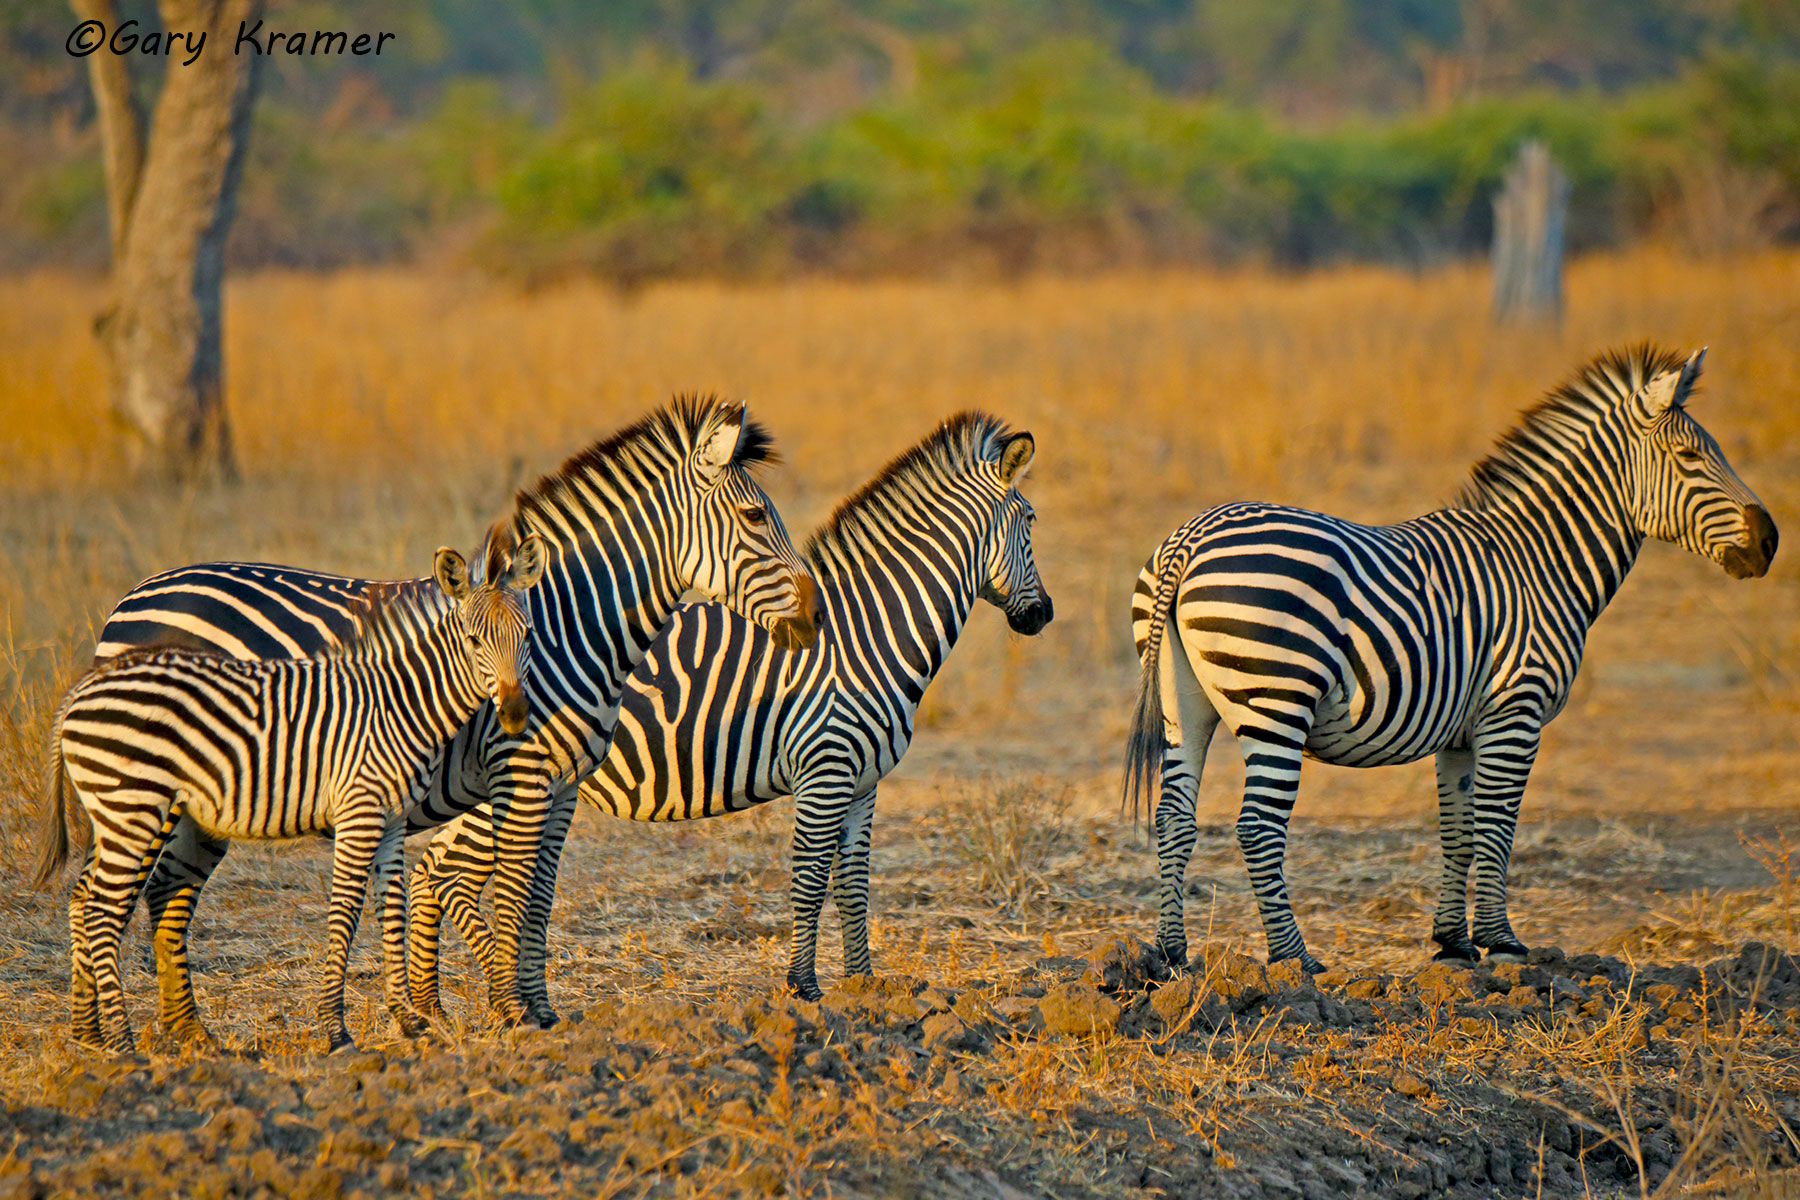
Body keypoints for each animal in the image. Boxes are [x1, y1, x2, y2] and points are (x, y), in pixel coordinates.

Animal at [35, 533, 545, 1054]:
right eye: (475, 641)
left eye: (527, 636)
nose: (516, 716)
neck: (399, 703)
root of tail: (80, 693)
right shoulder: (358, 811)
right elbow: (344, 913)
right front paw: (335, 1031)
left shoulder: (392, 820)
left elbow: (392, 910)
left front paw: (410, 1021)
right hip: (134, 807)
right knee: (102, 910)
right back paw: (122, 1043)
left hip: (117, 810)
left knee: (86, 899)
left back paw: (89, 1034)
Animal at [93, 396, 822, 1040]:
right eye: (756, 516)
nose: (816, 619)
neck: (571, 624)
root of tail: (135, 596)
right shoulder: (521, 772)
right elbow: (513, 887)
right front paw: (510, 1010)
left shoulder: (564, 785)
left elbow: (541, 893)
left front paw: (539, 1010)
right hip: (151, 790)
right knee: (121, 897)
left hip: (199, 802)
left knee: (167, 892)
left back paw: (187, 1036)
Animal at [405, 411, 1052, 1012]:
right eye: (1030, 522)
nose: (1043, 615)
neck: (866, 633)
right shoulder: (825, 768)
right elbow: (811, 879)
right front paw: (804, 989)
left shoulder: (863, 782)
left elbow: (853, 881)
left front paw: (864, 986)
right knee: (447, 873)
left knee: (430, 872)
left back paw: (429, 1007)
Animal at [1122, 345, 1777, 974]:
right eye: (1690, 458)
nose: (1770, 542)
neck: (1541, 563)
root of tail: (1190, 539)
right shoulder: (1515, 711)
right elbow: (1497, 826)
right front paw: (1501, 942)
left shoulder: (1461, 731)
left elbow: (1458, 832)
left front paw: (1453, 943)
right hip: (1278, 701)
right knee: (1258, 827)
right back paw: (1294, 958)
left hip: (1186, 706)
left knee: (1175, 817)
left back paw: (1172, 954)